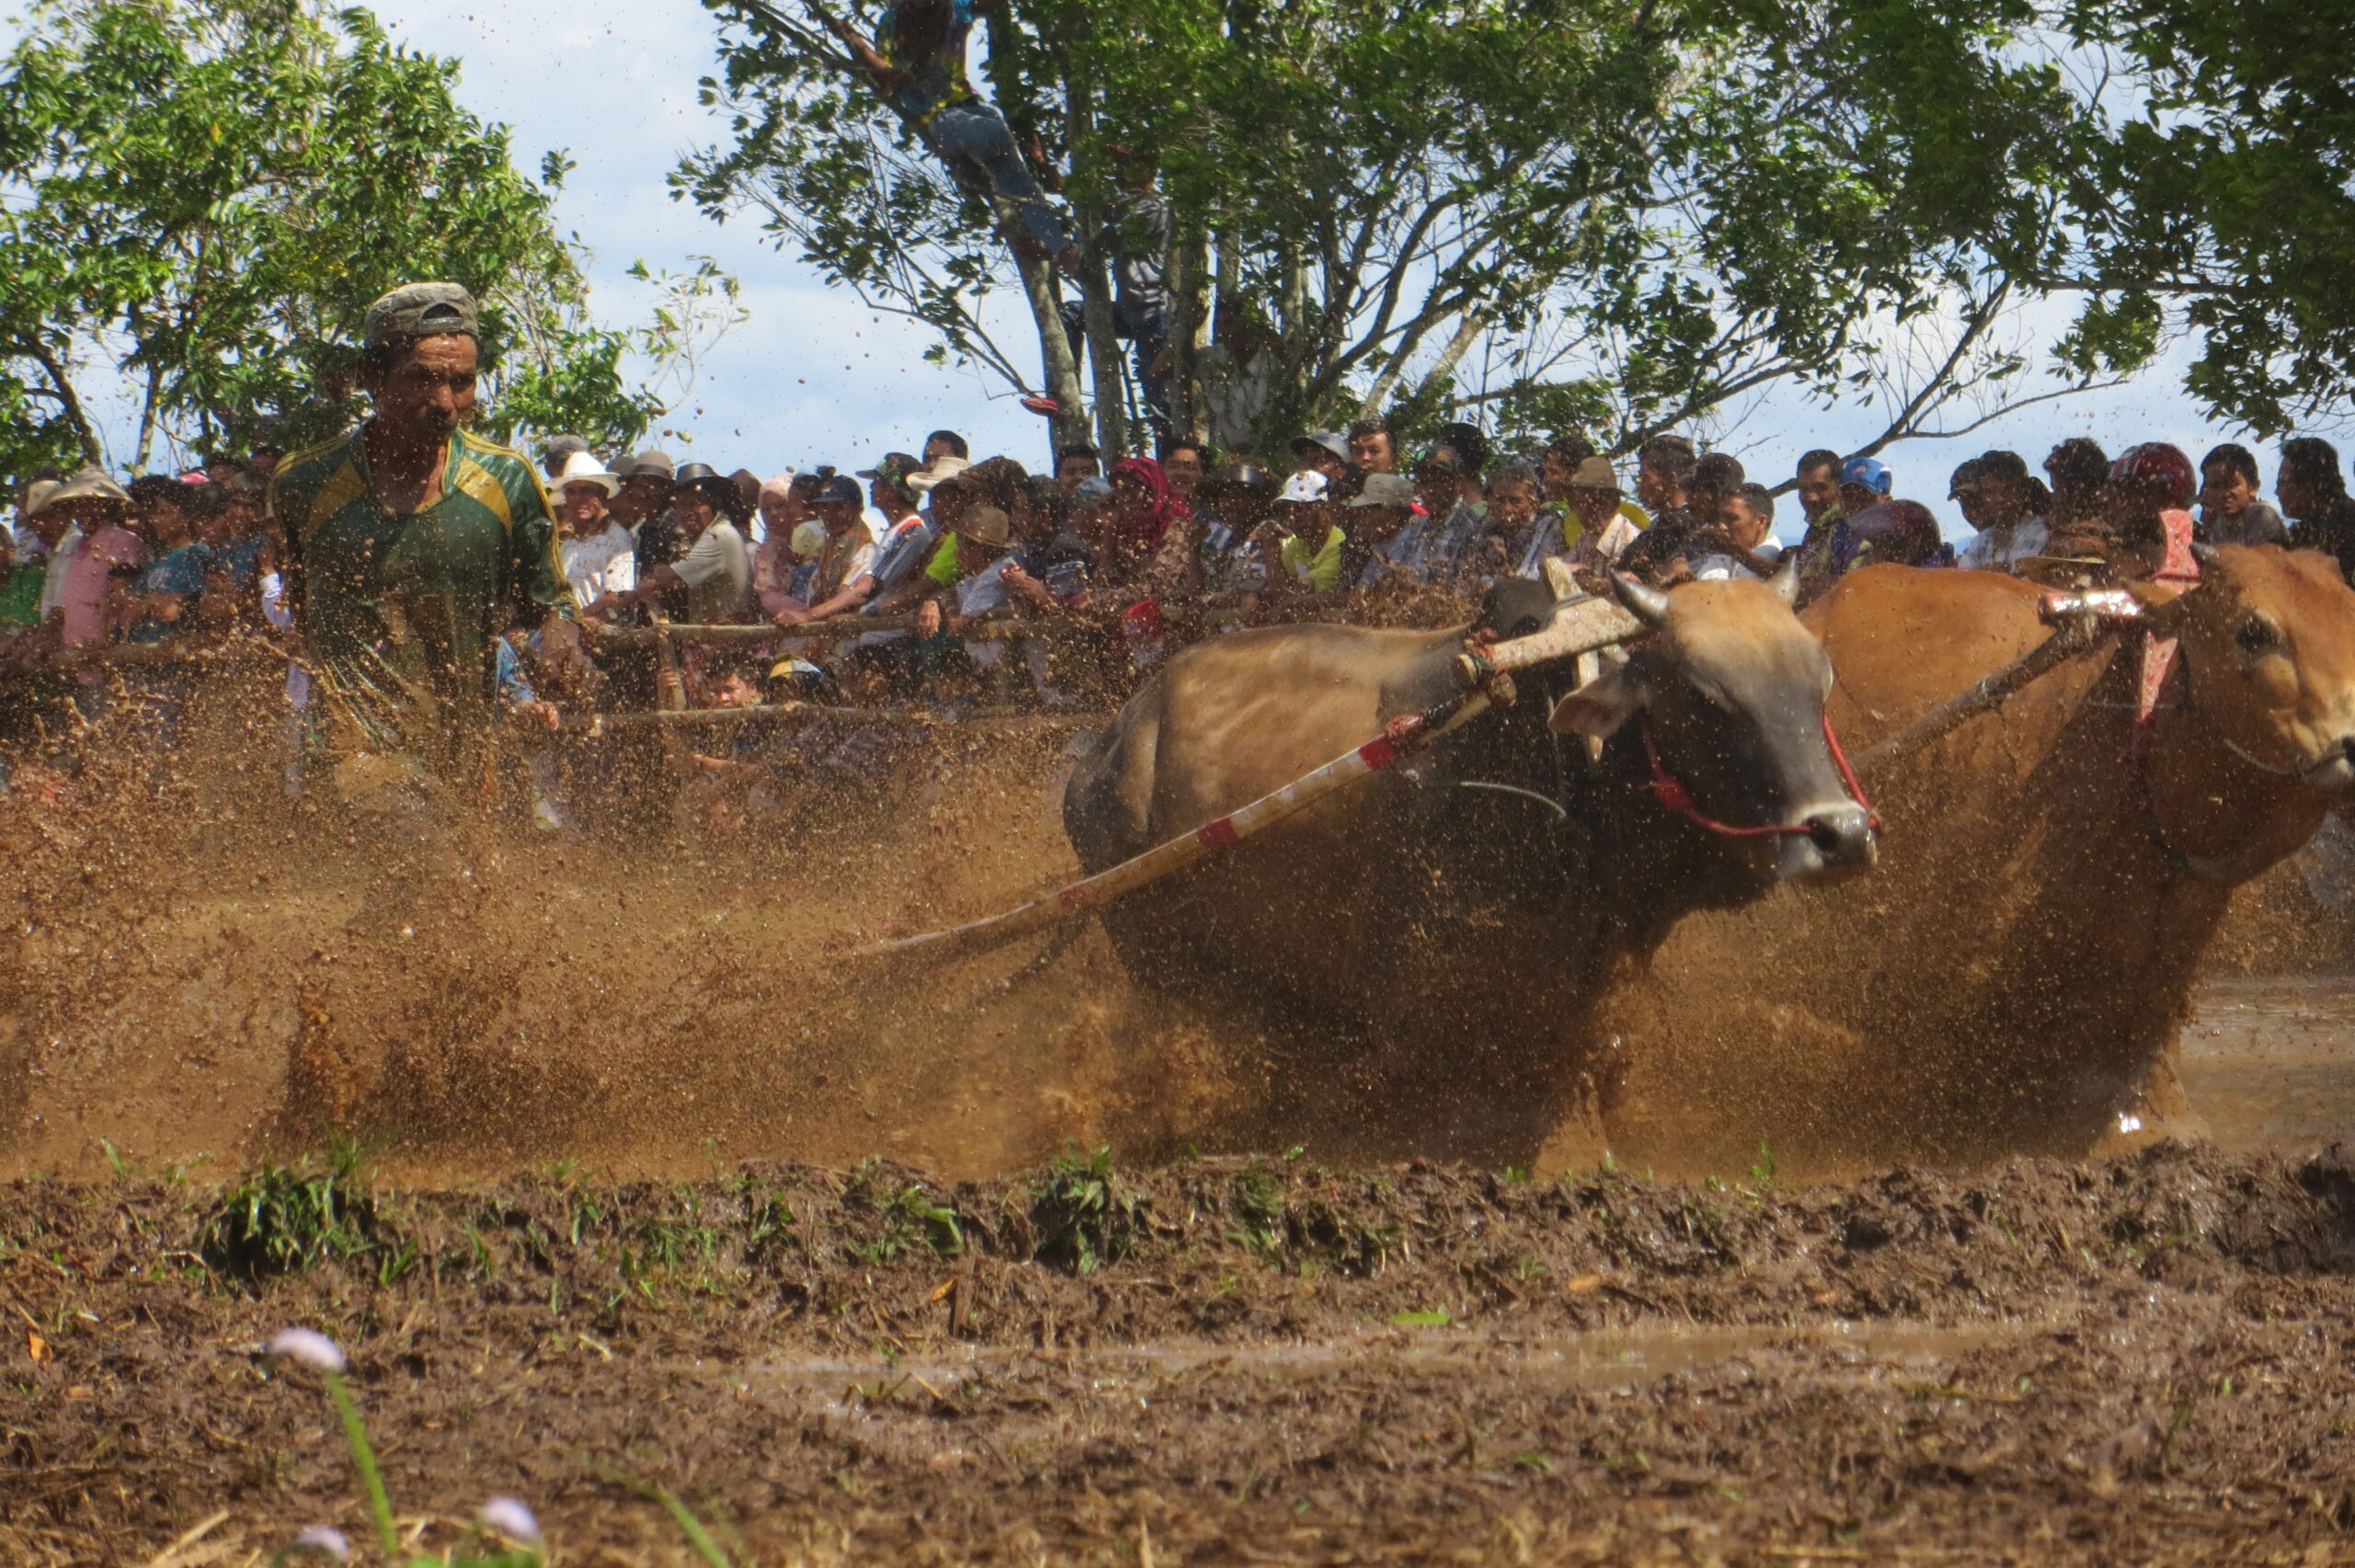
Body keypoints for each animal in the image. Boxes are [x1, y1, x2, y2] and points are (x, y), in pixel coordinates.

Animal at [1069, 567, 1874, 1153]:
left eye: (1822, 681)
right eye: (1704, 694)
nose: (1841, 833)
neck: (1576, 771)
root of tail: (1113, 737)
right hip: (1159, 954)